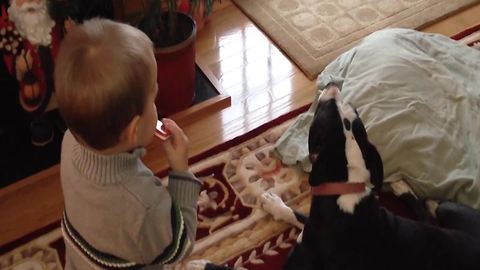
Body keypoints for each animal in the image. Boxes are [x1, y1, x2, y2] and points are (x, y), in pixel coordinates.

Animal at [190, 85, 480, 270]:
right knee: (426, 213)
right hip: (444, 215)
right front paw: (274, 203)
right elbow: (296, 214)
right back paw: (403, 187)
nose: (333, 87)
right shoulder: (312, 222)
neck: (346, 184)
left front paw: (201, 264)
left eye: (324, 112)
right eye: (352, 111)